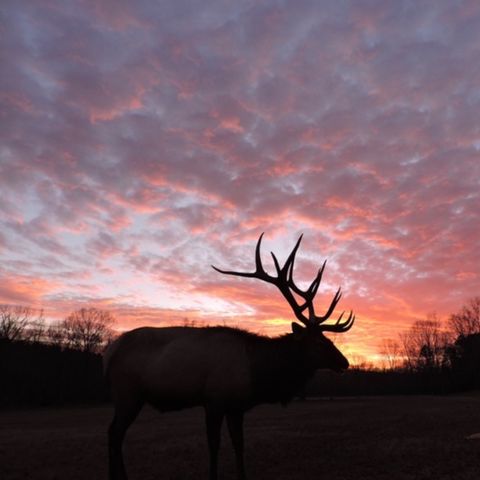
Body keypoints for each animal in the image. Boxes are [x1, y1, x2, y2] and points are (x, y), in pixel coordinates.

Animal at [104, 233, 352, 480]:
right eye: (319, 342)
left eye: (327, 339)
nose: (345, 362)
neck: (256, 374)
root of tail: (109, 351)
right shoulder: (214, 400)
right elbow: (214, 446)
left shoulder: (236, 406)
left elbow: (239, 445)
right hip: (128, 393)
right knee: (114, 434)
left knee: (113, 434)